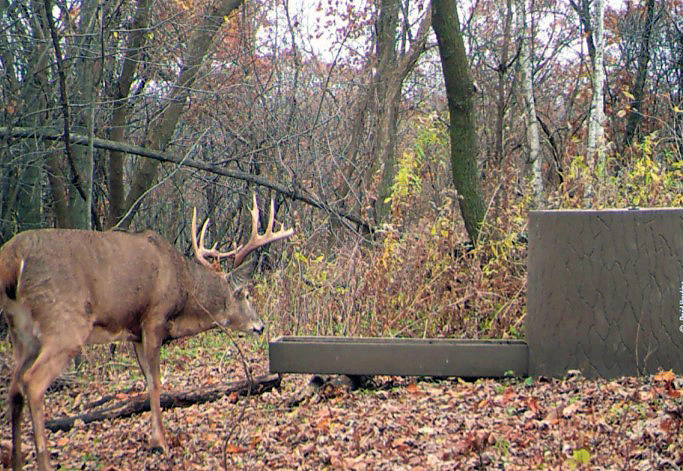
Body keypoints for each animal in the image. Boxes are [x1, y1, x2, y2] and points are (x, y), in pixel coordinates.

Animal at [0, 194, 292, 470]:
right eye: (245, 295)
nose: (260, 325)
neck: (183, 288)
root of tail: (12, 257)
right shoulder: (154, 319)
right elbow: (156, 382)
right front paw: (160, 442)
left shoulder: (135, 334)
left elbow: (148, 381)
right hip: (65, 324)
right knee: (33, 383)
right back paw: (45, 463)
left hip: (22, 332)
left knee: (14, 388)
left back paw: (17, 462)